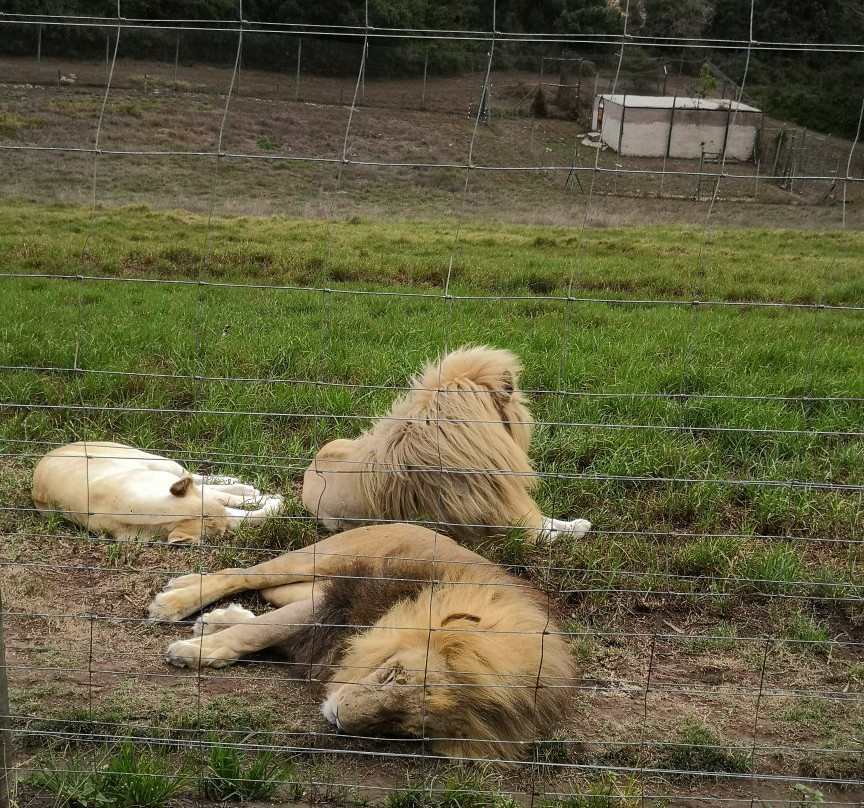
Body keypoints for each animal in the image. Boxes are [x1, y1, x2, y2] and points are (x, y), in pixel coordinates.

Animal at [149, 523, 576, 761]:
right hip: (323, 557)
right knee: (244, 574)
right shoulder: (341, 604)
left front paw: (211, 639)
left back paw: (209, 617)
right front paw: (188, 653)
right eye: (395, 674)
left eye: (405, 728)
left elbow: (268, 630)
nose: (337, 717)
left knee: (273, 594)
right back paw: (176, 601)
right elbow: (260, 631)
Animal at [302, 346, 591, 543]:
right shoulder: (493, 519)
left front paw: (578, 524)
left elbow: (549, 520)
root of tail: (307, 471)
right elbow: (543, 531)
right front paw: (574, 531)